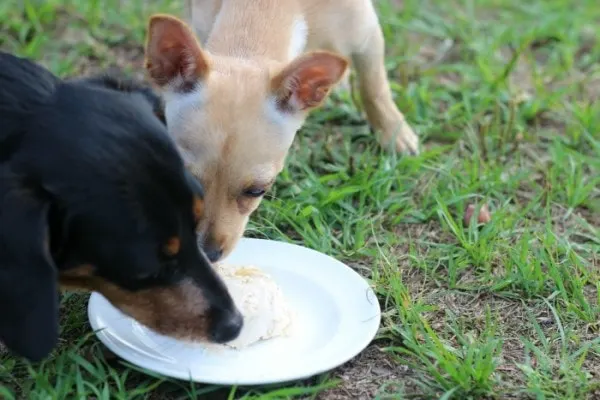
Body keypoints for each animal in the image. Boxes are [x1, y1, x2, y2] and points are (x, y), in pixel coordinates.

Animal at [144, 0, 418, 260]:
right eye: (184, 181)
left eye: (257, 191)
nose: (206, 253)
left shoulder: (367, 35)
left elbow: (373, 86)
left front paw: (394, 132)